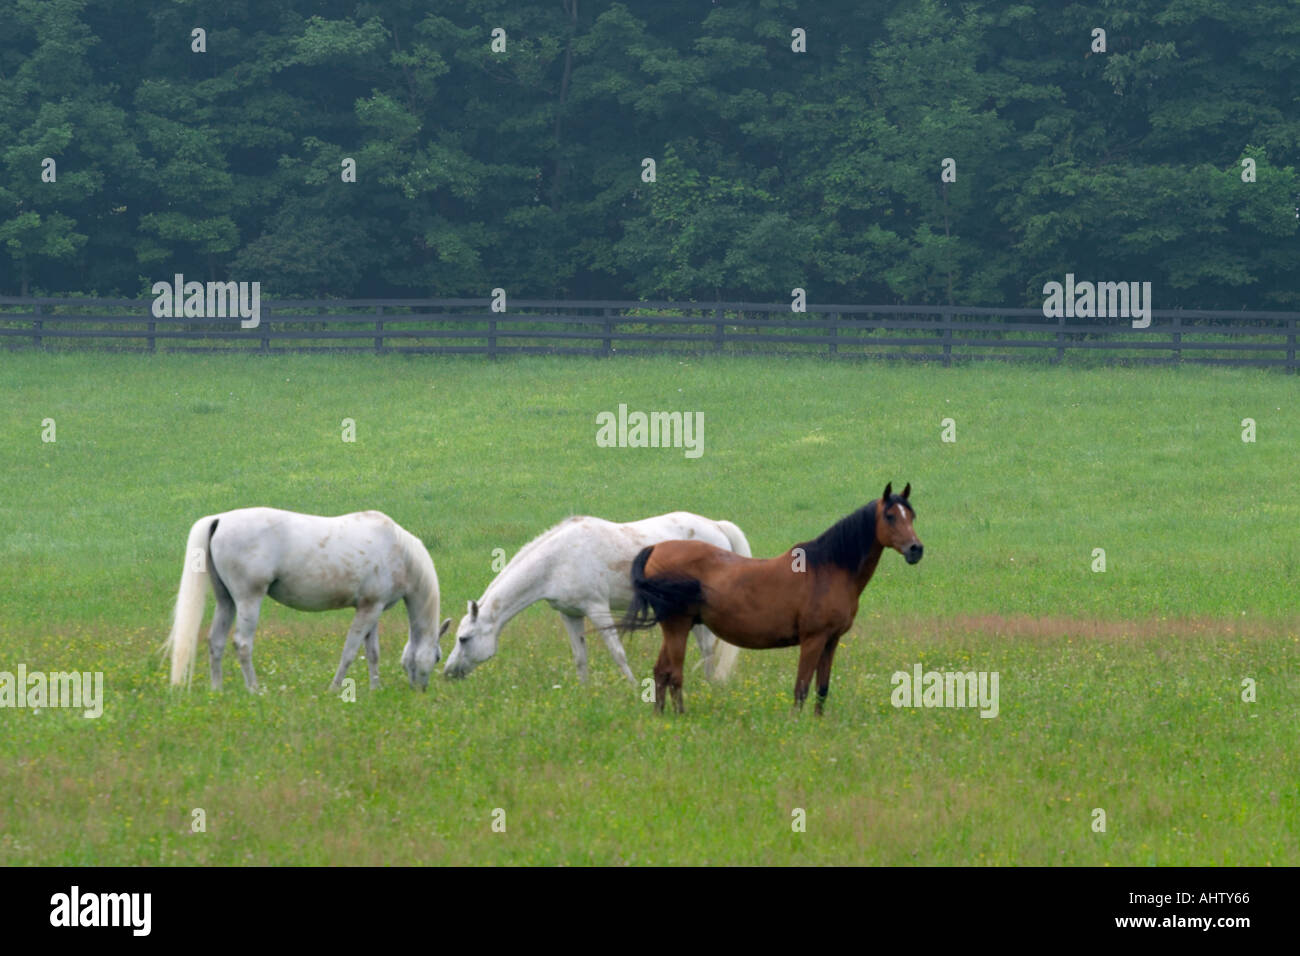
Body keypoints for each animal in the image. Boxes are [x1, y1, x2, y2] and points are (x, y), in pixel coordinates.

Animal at [163, 508, 451, 693]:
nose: (420, 690)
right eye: (437, 657)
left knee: (216, 642)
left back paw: (217, 690)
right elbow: (350, 651)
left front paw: (375, 689)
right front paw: (334, 688)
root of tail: (219, 520)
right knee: (242, 643)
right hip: (248, 600)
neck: (398, 550)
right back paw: (255, 690)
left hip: (227, 602)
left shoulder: (373, 609)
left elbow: (373, 653)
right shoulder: (368, 610)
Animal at [442, 511, 753, 684]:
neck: (557, 560)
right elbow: (580, 657)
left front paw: (632, 688)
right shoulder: (570, 615)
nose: (448, 672)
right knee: (705, 646)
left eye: (463, 639)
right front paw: (585, 692)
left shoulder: (597, 608)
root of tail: (716, 526)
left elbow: (618, 653)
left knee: (709, 647)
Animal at [620, 483, 923, 715]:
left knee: (661, 672)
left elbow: (822, 688)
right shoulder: (813, 639)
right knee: (673, 674)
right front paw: (796, 724)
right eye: (890, 516)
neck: (828, 569)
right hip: (677, 626)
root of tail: (656, 549)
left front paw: (818, 722)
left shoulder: (831, 640)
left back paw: (661, 717)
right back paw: (679, 717)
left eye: (911, 515)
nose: (915, 549)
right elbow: (801, 687)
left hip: (675, 628)